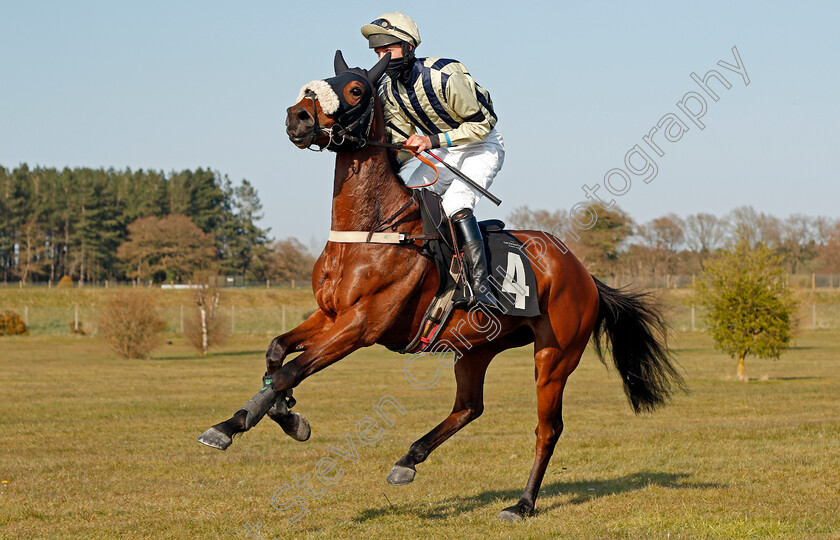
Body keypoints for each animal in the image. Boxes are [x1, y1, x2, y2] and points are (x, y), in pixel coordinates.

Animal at [200, 52, 684, 520]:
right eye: (314, 83)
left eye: (355, 89)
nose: (296, 117)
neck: (373, 229)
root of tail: (583, 273)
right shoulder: (331, 314)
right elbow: (276, 353)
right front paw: (281, 414)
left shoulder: (361, 325)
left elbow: (291, 369)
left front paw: (235, 425)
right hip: (476, 348)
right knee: (469, 407)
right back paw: (408, 460)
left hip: (554, 355)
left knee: (548, 428)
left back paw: (522, 504)